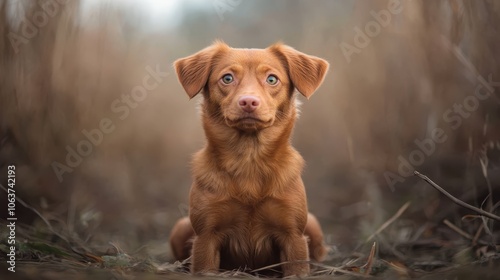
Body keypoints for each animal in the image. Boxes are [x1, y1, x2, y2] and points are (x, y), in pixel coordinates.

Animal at [170, 40, 330, 276]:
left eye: (272, 79)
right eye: (227, 78)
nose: (248, 101)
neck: (249, 158)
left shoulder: (293, 237)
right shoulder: (206, 237)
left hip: (313, 224)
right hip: (180, 228)